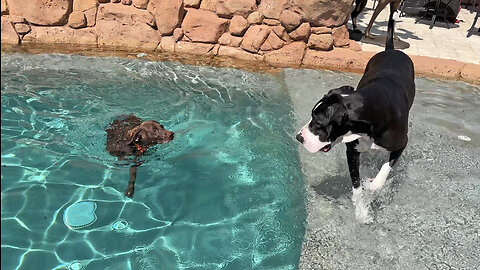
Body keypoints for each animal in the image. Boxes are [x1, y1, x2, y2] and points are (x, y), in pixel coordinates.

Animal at [294, 7, 414, 196]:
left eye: (318, 123)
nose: (299, 137)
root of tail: (391, 49)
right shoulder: (352, 151)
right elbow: (356, 184)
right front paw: (360, 201)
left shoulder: (401, 144)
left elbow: (386, 167)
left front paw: (374, 185)